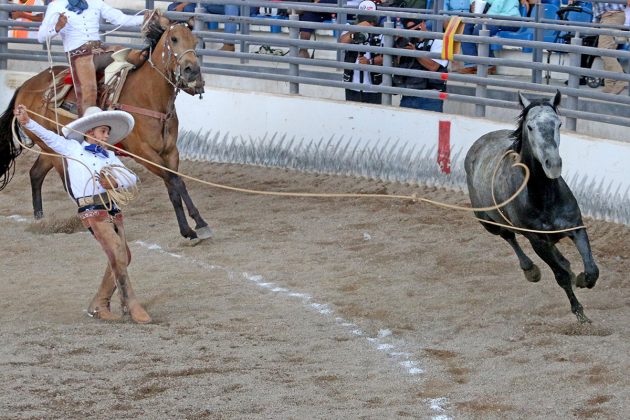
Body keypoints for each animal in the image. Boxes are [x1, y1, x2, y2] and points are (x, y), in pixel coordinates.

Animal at [0, 13, 212, 240]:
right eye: (174, 39)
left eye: (195, 42)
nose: (193, 71)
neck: (149, 97)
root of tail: (25, 87)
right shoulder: (143, 153)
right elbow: (175, 181)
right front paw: (196, 226)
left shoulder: (170, 152)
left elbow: (174, 186)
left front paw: (192, 227)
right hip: (55, 151)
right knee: (66, 183)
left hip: (52, 145)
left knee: (36, 174)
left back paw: (40, 220)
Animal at [466, 90, 600, 324]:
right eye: (530, 126)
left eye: (558, 123)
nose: (553, 164)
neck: (543, 197)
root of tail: (478, 145)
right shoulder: (537, 241)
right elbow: (560, 276)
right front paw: (580, 313)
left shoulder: (576, 227)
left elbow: (592, 269)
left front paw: (583, 279)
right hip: (489, 222)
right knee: (508, 236)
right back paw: (530, 269)